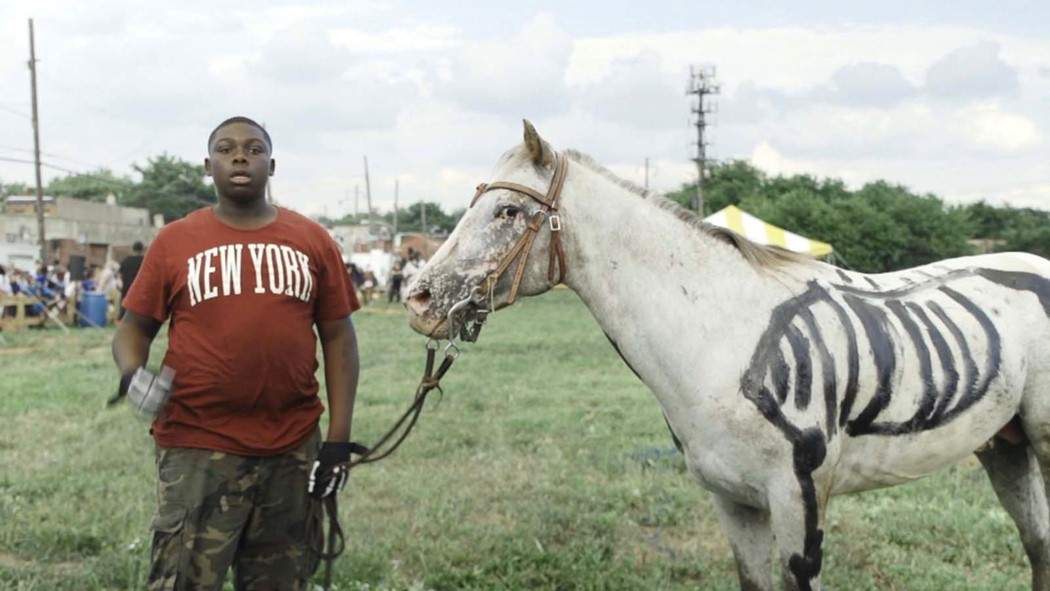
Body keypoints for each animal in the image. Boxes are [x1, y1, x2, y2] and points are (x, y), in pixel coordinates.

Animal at [401, 120, 1050, 591]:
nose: (418, 299)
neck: (720, 336)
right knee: (1039, 544)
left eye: (507, 212)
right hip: (1005, 445)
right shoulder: (732, 502)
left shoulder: (799, 503)